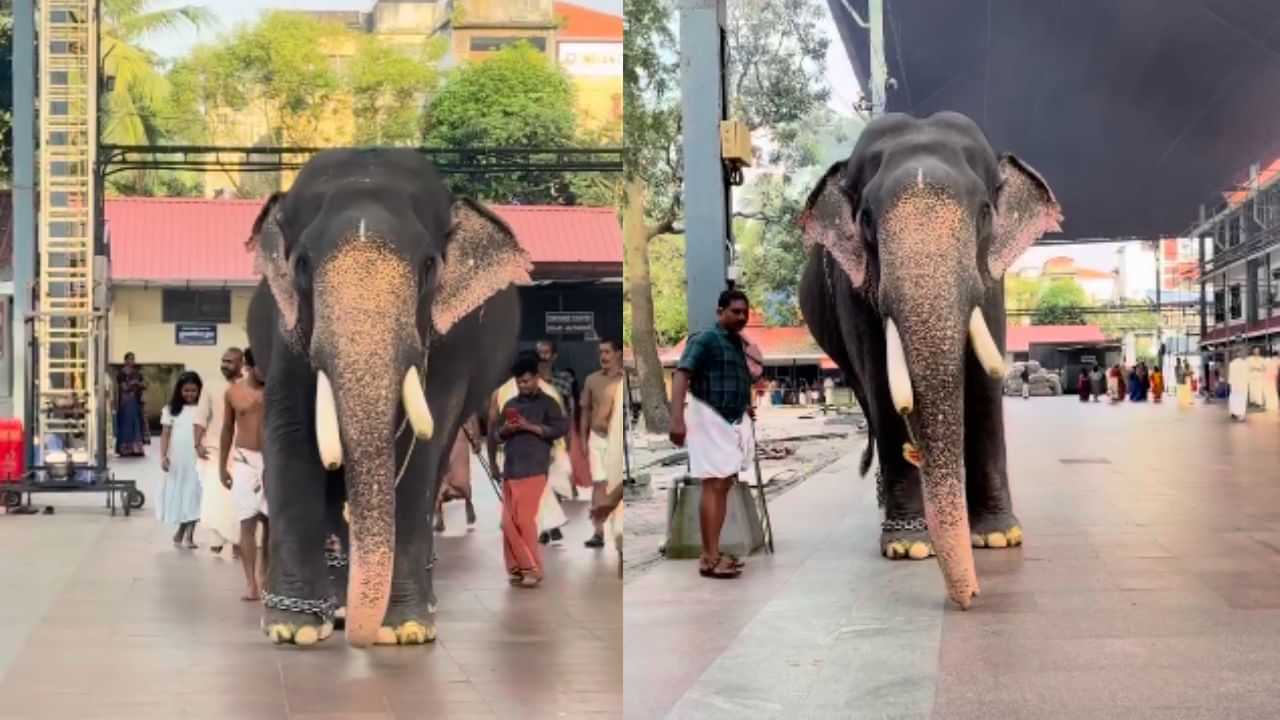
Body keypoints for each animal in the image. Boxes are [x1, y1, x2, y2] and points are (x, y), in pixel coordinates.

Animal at [245, 148, 532, 646]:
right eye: (301, 265)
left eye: (430, 267)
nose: (362, 636)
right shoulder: (288, 326)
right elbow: (292, 429)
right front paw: (292, 628)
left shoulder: (448, 337)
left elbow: (422, 445)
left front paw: (404, 629)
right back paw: (337, 606)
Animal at [797, 112, 1062, 609]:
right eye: (865, 219)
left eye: (985, 212)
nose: (970, 596)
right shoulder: (853, 289)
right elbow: (883, 386)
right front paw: (909, 546)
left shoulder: (992, 278)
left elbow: (983, 383)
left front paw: (999, 538)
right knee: (868, 397)